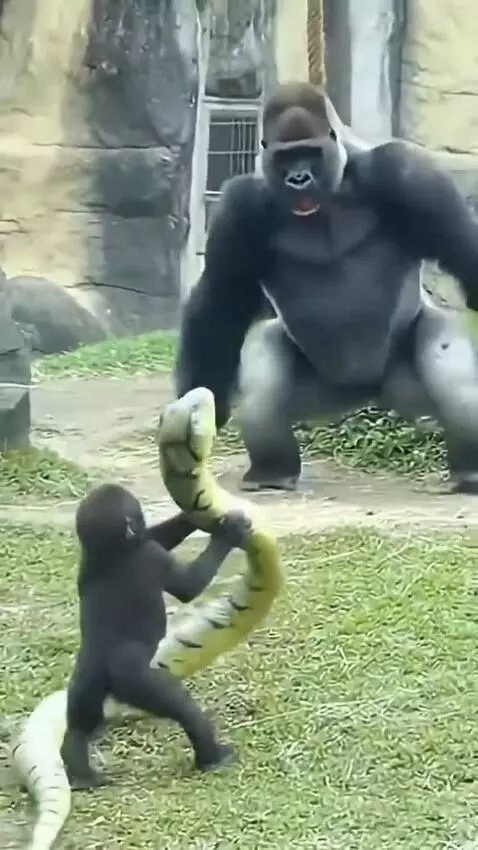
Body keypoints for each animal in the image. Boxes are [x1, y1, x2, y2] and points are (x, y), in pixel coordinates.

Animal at [61, 483, 252, 789]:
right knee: (182, 708)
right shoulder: (149, 555)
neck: (109, 551)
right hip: (136, 681)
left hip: (85, 680)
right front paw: (229, 533)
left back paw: (81, 775)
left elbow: (157, 536)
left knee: (79, 724)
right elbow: (187, 585)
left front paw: (191, 516)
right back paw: (211, 757)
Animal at [175, 81, 478, 495]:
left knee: (448, 359)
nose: (298, 179)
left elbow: (466, 254)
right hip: (321, 399)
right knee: (262, 367)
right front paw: (201, 405)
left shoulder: (406, 173)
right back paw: (272, 471)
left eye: (310, 154)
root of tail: (368, 392)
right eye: (287, 158)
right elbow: (221, 302)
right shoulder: (240, 206)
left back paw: (470, 471)